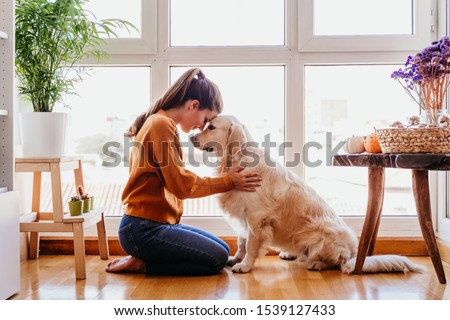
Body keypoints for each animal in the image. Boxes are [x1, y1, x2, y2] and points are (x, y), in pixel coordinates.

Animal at [192, 116, 424, 274]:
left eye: (211, 127)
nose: (191, 137)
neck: (237, 160)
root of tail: (354, 253)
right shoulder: (243, 215)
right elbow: (241, 242)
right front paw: (236, 258)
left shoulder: (257, 219)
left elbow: (250, 245)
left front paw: (245, 265)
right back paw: (291, 253)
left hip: (320, 235)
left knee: (338, 263)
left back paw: (316, 263)